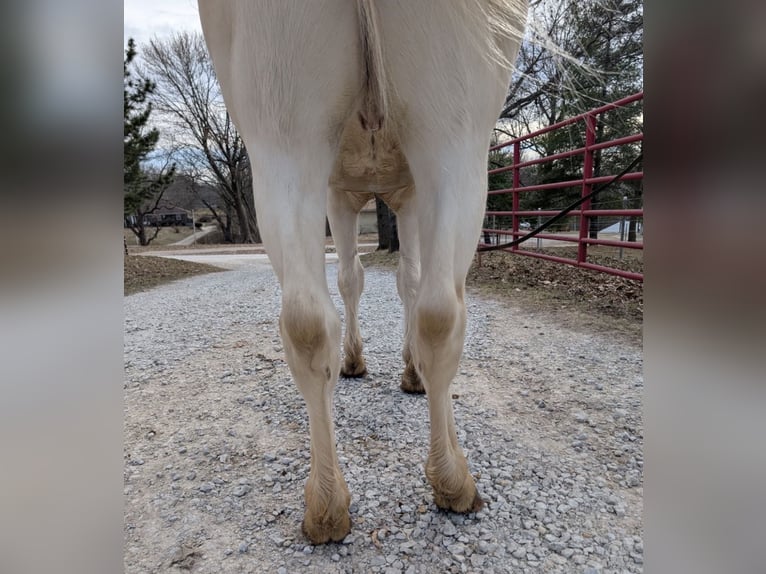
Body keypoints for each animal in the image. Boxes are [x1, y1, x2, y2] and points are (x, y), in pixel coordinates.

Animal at [198, 0, 528, 544]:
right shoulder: (384, 196)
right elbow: (397, 281)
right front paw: (395, 367)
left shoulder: (352, 193)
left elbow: (371, 283)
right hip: (451, 133)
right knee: (436, 310)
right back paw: (448, 478)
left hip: (286, 134)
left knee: (309, 322)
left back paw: (329, 504)